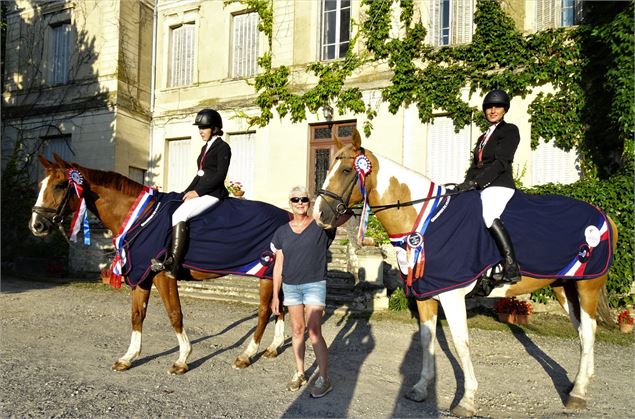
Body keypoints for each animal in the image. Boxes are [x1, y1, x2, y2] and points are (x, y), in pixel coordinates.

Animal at [30, 156, 288, 376]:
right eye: (41, 184)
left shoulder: (162, 275)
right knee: (280, 308)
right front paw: (128, 358)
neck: (141, 217)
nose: (36, 225)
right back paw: (273, 348)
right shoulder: (141, 275)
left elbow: (175, 314)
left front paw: (182, 359)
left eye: (60, 185)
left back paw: (246, 355)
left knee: (264, 312)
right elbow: (137, 315)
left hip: (266, 275)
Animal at [316, 130, 620, 418]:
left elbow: (461, 344)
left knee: (589, 330)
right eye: (329, 167)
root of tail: (604, 216)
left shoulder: (452, 296)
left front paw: (467, 400)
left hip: (588, 286)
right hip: (564, 287)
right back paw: (577, 384)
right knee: (581, 331)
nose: (320, 214)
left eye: (346, 170)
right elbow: (426, 340)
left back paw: (578, 394)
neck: (426, 223)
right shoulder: (426, 295)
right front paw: (420, 388)